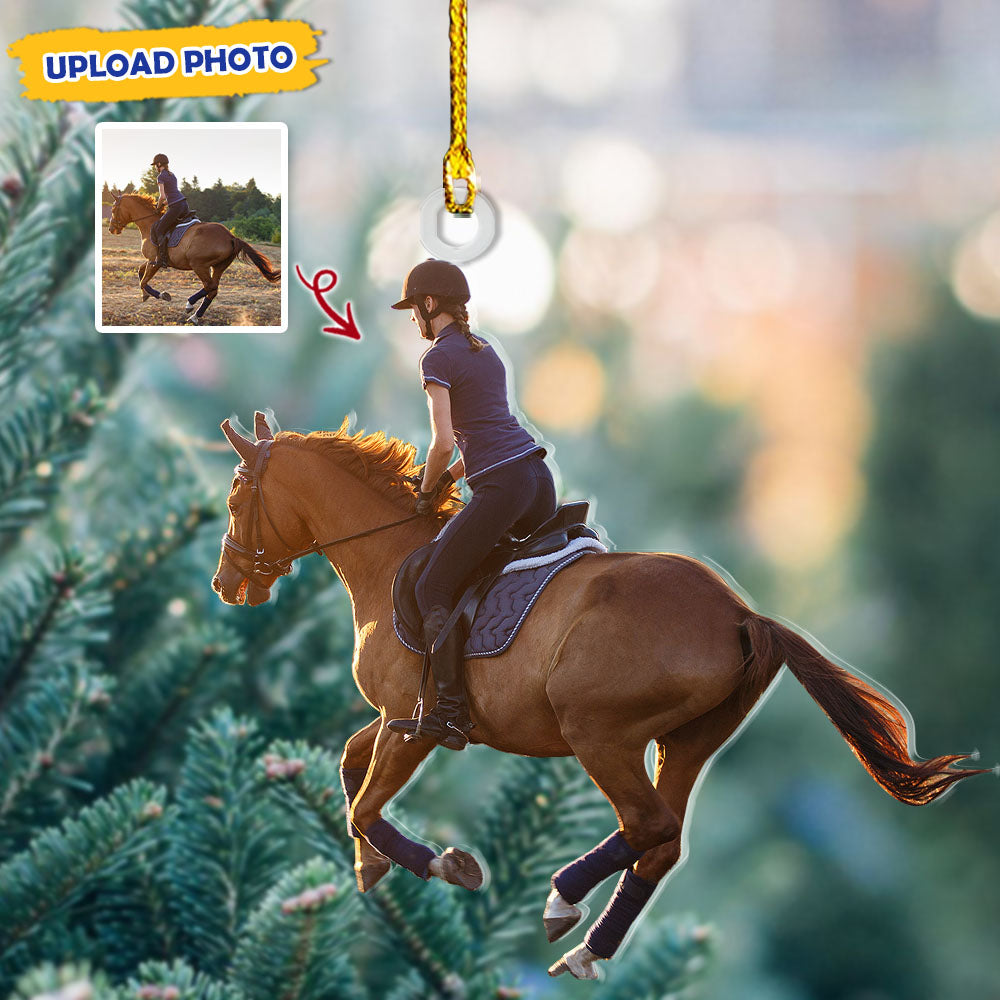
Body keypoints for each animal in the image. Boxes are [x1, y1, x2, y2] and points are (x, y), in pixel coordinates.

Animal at [106, 191, 280, 324]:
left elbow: (143, 281)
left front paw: (161, 295)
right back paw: (195, 316)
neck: (149, 224)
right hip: (218, 267)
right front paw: (146, 295)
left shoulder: (155, 262)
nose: (111, 228)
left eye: (114, 208)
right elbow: (140, 273)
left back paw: (190, 303)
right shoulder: (151, 261)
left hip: (199, 265)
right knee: (213, 289)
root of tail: (231, 237)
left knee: (210, 286)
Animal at [212, 413, 987, 981]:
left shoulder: (415, 724)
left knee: (649, 826)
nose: (226, 584)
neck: (391, 557)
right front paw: (371, 865)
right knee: (664, 843)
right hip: (685, 741)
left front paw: (442, 864)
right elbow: (349, 767)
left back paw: (563, 897)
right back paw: (589, 946)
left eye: (236, 496)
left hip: (599, 732)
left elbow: (365, 803)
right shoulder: (402, 721)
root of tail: (742, 614)